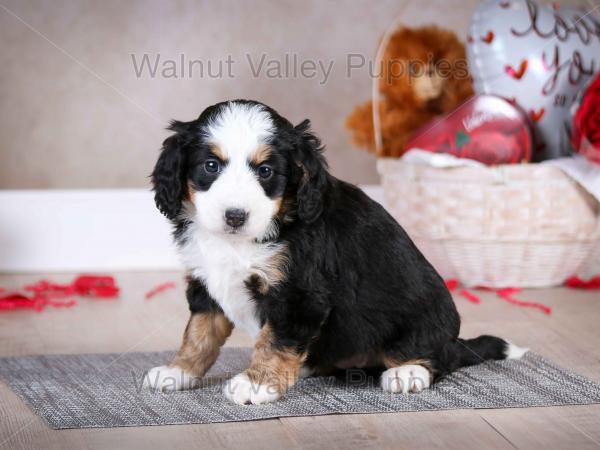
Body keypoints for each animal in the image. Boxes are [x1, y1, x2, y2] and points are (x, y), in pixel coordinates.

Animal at [144, 100, 524, 406]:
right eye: (211, 166)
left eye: (266, 171)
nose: (235, 216)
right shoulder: (205, 283)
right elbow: (198, 334)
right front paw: (178, 371)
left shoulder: (299, 295)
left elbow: (274, 341)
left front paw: (257, 384)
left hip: (425, 318)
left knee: (439, 357)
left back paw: (408, 372)